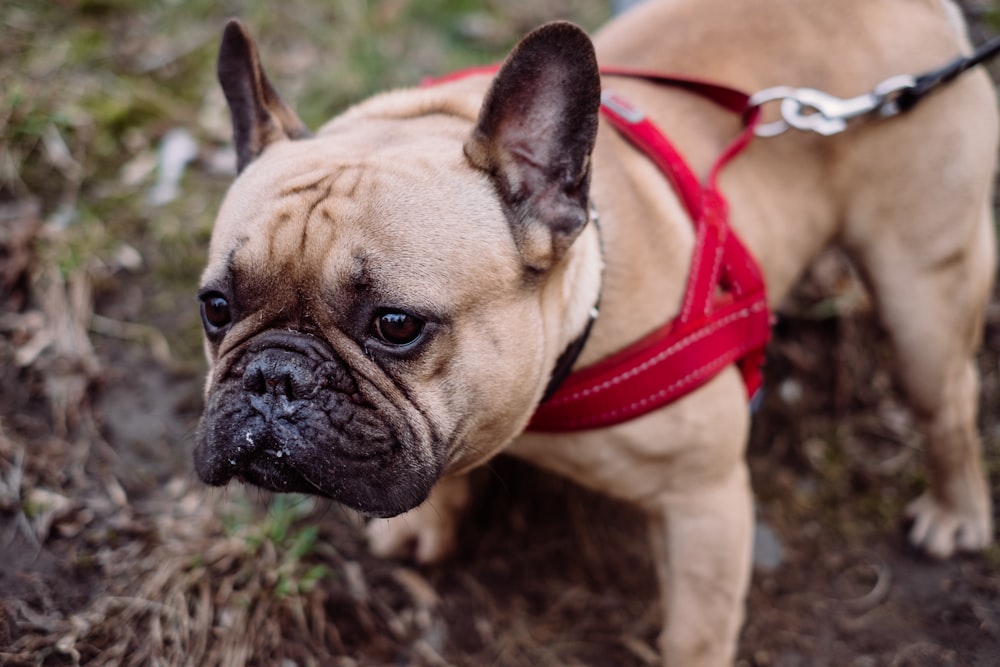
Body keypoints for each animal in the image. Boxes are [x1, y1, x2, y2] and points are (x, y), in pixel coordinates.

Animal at [191, 2, 996, 664]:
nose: (272, 375)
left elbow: (694, 633)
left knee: (947, 402)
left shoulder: (705, 502)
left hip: (923, 288)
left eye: (395, 325)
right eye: (216, 308)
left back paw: (955, 513)